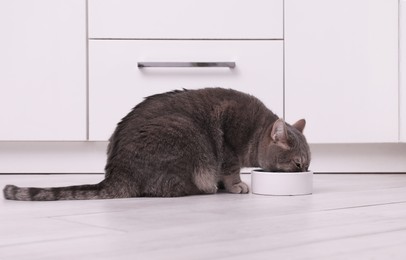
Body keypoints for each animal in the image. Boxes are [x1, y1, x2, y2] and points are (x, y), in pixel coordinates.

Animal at [3, 88, 310, 201]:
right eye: (297, 164)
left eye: (307, 165)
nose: (305, 172)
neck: (255, 130)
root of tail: (116, 174)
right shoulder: (229, 146)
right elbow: (231, 170)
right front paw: (235, 186)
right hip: (186, 132)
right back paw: (205, 188)